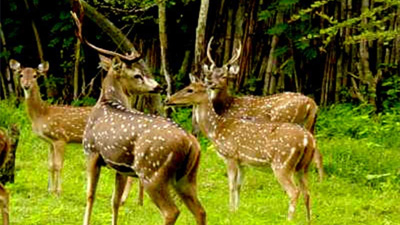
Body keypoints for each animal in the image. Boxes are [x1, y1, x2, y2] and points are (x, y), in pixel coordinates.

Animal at [9, 59, 91, 195]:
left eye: (35, 76)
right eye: (21, 75)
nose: (26, 85)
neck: (42, 114)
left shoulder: (61, 138)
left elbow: (58, 165)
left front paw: (58, 192)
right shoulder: (50, 142)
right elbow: (50, 165)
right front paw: (49, 190)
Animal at [72, 12, 208, 225]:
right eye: (137, 75)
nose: (158, 86)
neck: (106, 103)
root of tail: (192, 143)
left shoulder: (91, 151)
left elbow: (90, 195)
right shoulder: (119, 166)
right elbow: (115, 201)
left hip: (152, 171)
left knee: (171, 211)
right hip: (187, 176)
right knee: (201, 211)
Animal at [166, 79, 316, 221]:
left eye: (190, 89)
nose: (168, 100)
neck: (216, 130)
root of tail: (308, 140)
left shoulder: (230, 155)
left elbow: (231, 185)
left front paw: (230, 211)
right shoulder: (242, 162)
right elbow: (239, 186)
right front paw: (237, 211)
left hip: (282, 164)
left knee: (294, 191)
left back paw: (289, 219)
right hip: (302, 166)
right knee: (307, 192)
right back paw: (308, 219)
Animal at [203, 37, 324, 180]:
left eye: (224, 76)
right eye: (210, 75)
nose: (212, 84)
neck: (226, 107)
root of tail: (311, 104)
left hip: (287, 117)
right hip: (310, 125)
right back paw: (321, 179)